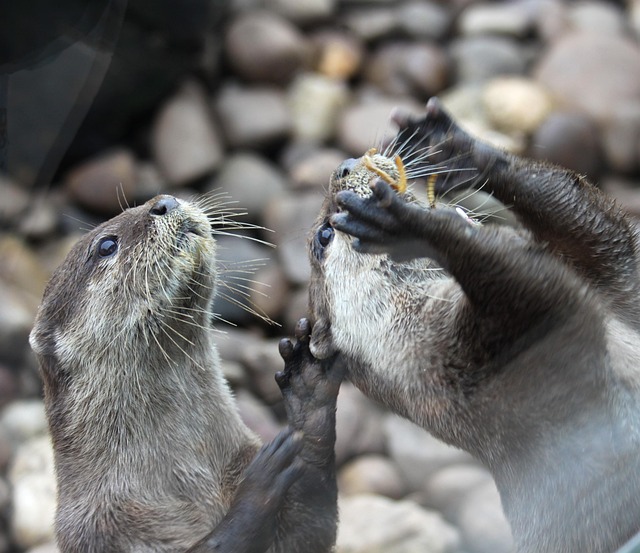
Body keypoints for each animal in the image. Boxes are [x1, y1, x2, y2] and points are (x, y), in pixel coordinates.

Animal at [29, 194, 342, 552]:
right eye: (107, 245)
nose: (164, 202)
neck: (187, 477)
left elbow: (310, 528)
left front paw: (310, 394)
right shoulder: (102, 528)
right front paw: (259, 485)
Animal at [308, 98, 640, 553]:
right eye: (324, 236)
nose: (342, 166)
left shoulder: (615, 281)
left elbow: (602, 234)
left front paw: (453, 147)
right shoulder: (492, 361)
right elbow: (537, 293)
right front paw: (407, 227)